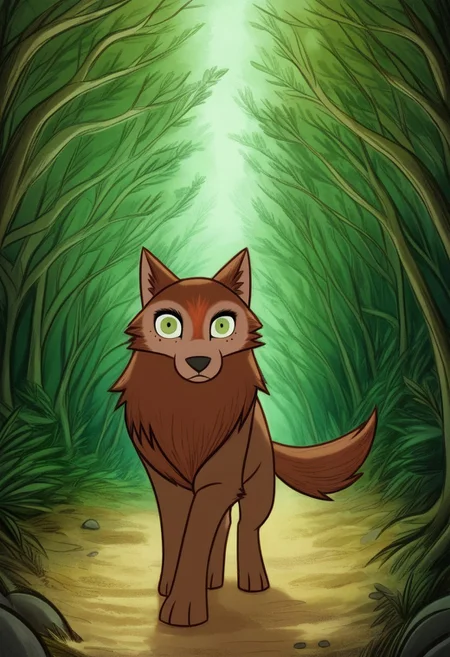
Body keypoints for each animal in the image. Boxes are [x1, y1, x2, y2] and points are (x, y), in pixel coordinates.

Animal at [110, 247, 377, 627]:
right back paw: (212, 579)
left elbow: (196, 537)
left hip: (259, 490)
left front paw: (184, 608)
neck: (189, 412)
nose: (198, 360)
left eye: (222, 326)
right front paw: (170, 586)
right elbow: (177, 535)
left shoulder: (217, 481)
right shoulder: (167, 483)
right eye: (169, 325)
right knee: (223, 524)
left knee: (246, 527)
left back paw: (251, 580)